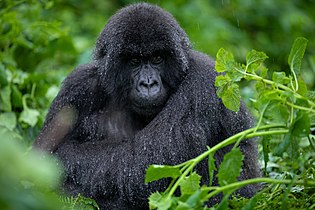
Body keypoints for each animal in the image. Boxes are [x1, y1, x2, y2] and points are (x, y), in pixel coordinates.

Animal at [34, 2, 262, 209]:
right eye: (134, 61)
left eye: (157, 58)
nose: (148, 83)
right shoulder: (78, 87)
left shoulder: (203, 81)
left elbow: (144, 164)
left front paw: (65, 158)